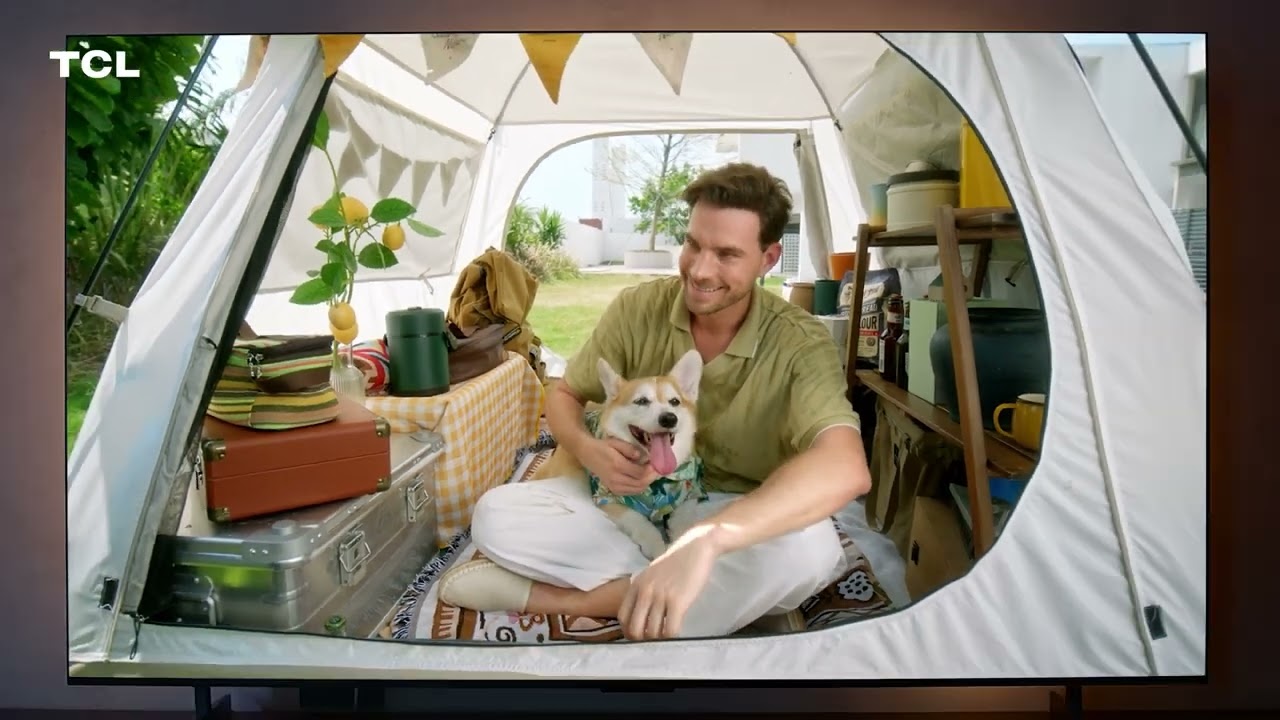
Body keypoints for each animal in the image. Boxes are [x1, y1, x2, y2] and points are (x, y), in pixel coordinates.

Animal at [534, 349, 708, 560]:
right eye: (641, 401)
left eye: (675, 402)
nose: (669, 418)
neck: (655, 481)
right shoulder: (610, 499)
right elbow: (641, 523)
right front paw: (658, 549)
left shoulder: (689, 494)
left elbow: (684, 523)